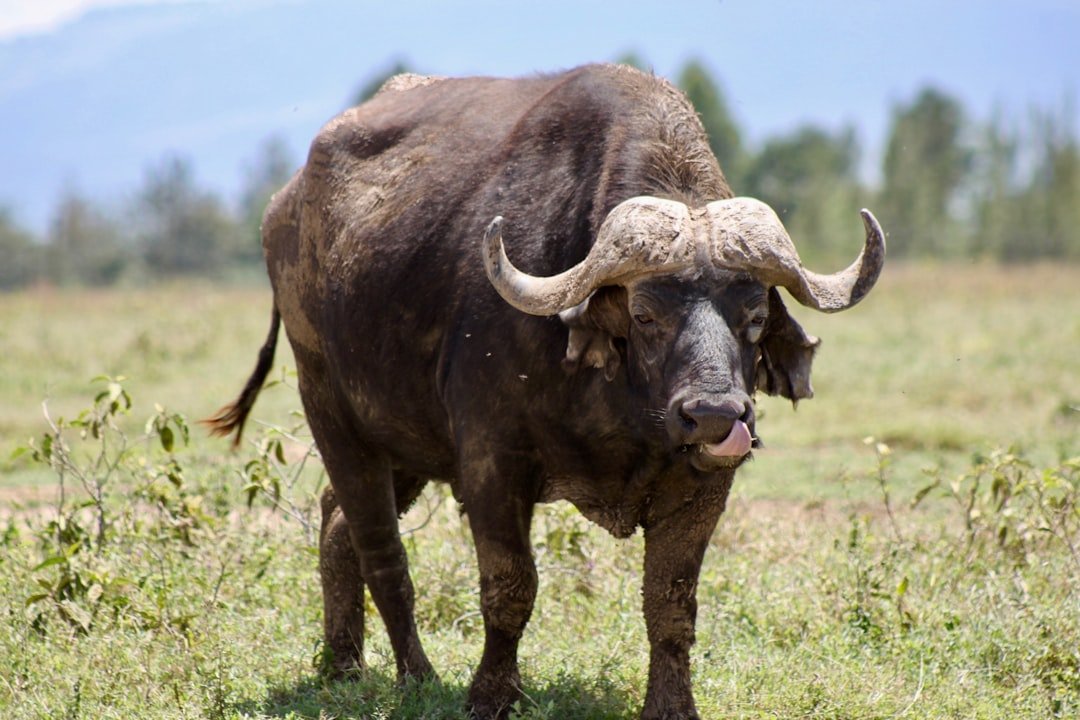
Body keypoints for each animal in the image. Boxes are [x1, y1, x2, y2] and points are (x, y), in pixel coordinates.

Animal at [207, 64, 885, 719]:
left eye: (754, 314)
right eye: (644, 314)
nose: (715, 415)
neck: (624, 406)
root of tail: (285, 207)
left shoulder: (702, 486)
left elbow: (671, 605)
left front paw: (672, 705)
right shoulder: (490, 465)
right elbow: (510, 588)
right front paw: (490, 694)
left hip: (405, 438)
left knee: (335, 522)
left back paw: (342, 664)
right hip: (331, 409)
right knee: (381, 549)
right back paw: (416, 676)